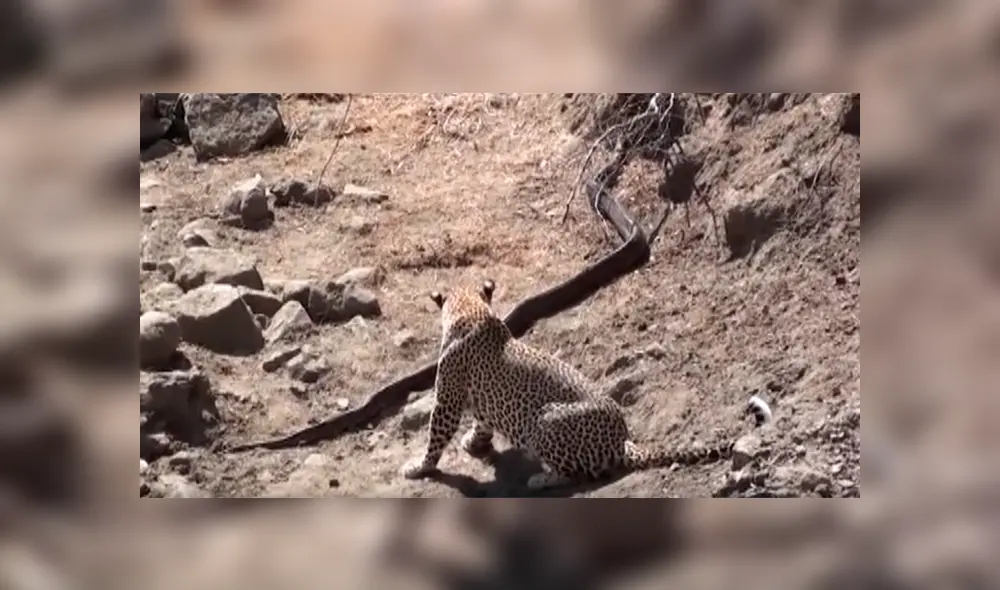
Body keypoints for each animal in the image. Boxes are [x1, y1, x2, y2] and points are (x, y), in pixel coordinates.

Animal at [400, 278, 772, 490]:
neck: (471, 308)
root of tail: (623, 441)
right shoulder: (475, 396)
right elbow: (481, 420)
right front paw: (474, 442)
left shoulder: (447, 399)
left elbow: (435, 437)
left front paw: (419, 467)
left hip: (545, 421)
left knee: (573, 475)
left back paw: (539, 479)